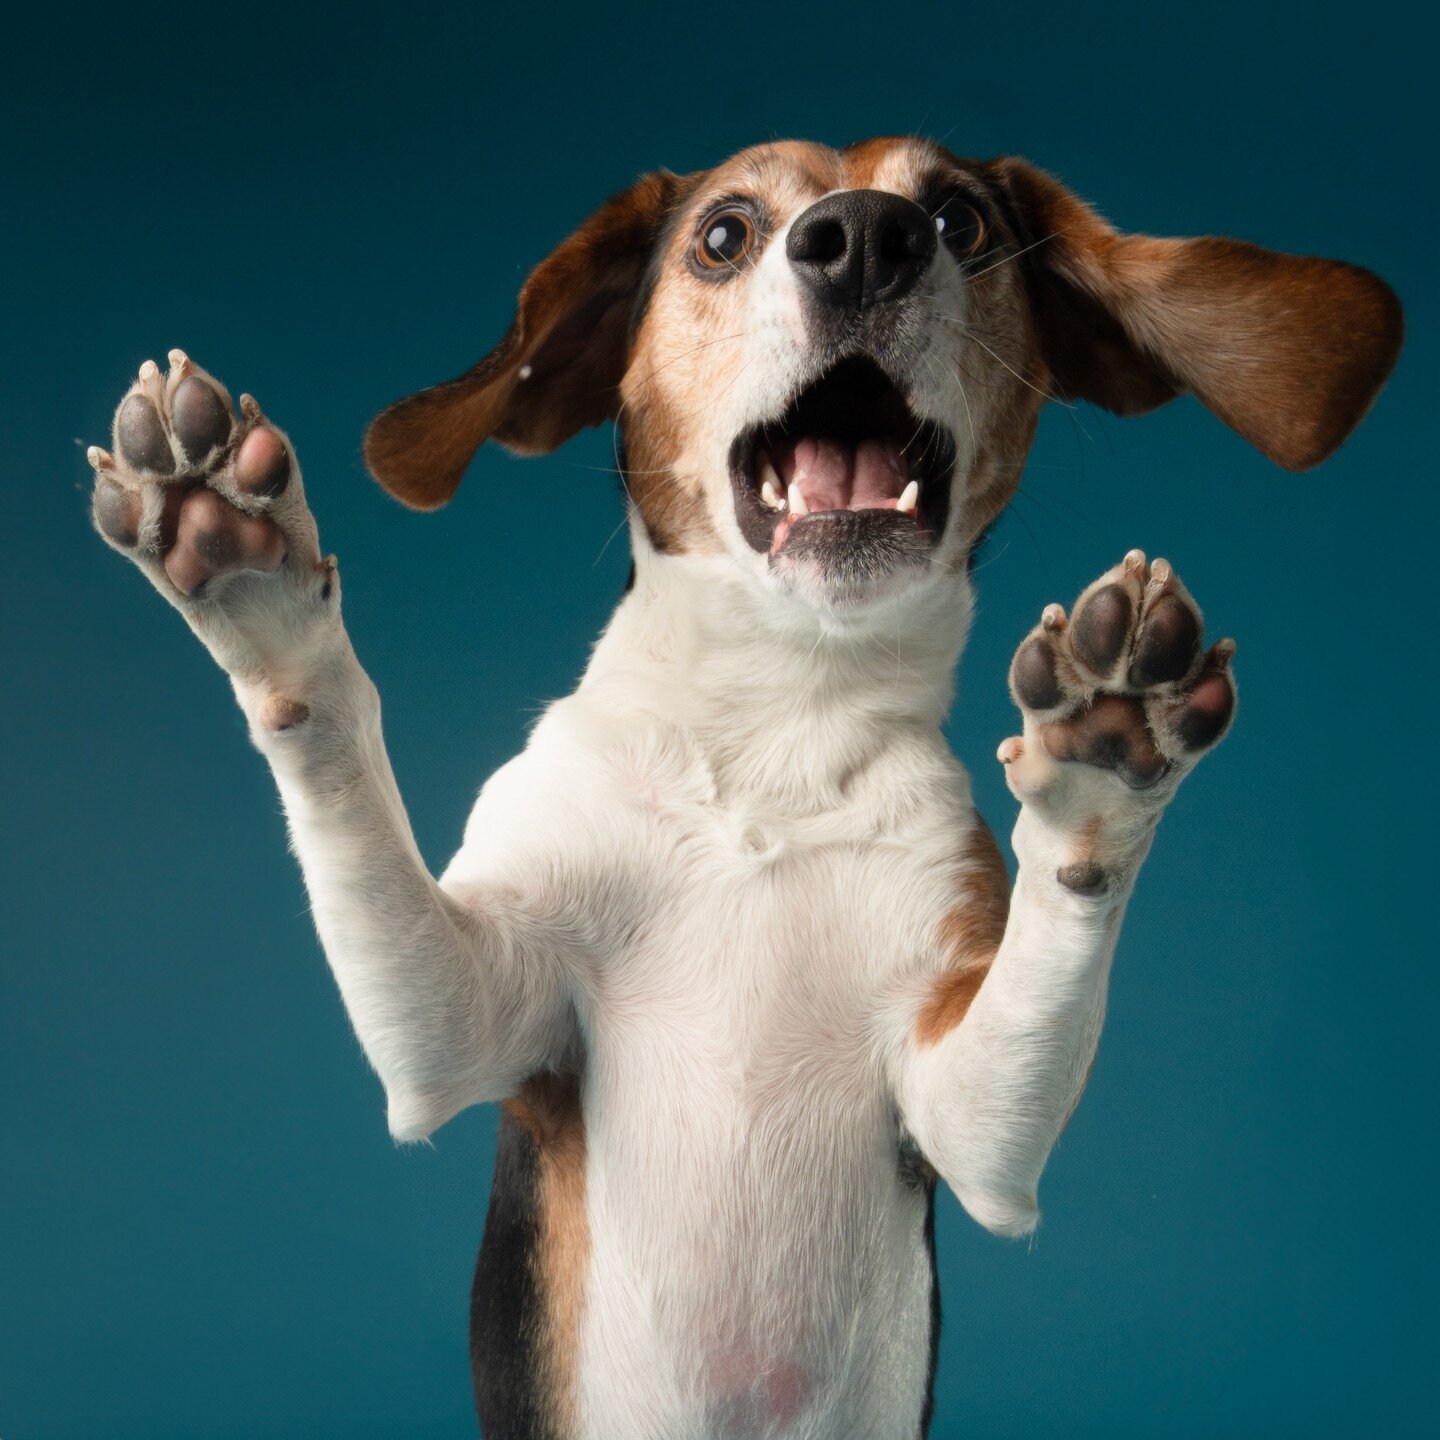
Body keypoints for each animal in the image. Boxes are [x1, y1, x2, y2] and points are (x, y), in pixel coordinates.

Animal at [84, 137, 1399, 1440]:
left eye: (962, 222)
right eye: (724, 235)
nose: (867, 239)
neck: (778, 718)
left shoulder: (971, 1123)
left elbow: (1043, 952)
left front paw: (1103, 766)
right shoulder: (465, 1028)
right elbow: (334, 755)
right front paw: (247, 572)